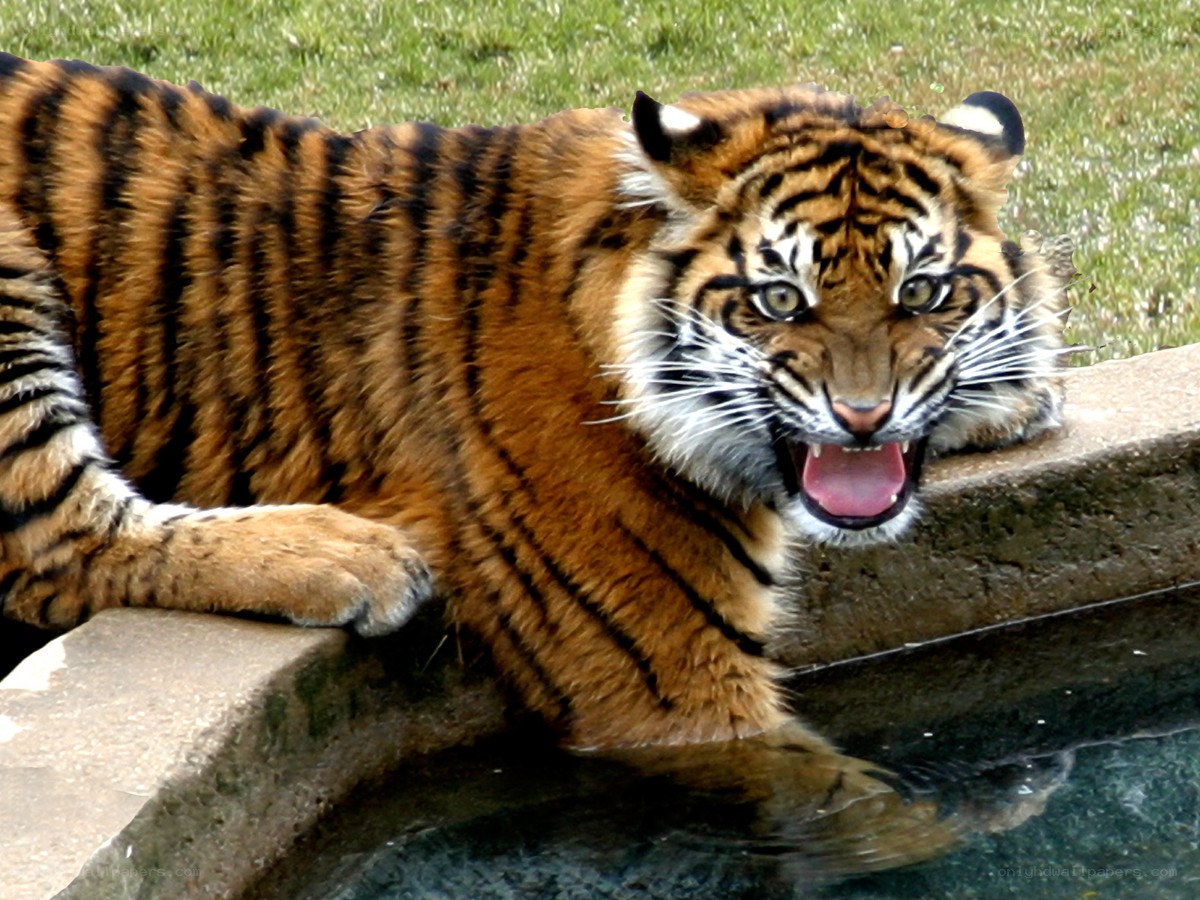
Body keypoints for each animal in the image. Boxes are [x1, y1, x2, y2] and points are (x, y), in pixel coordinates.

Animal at [0, 52, 1070, 868]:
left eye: (922, 292)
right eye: (780, 301)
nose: (862, 417)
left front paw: (1019, 392)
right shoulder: (665, 679)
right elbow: (859, 799)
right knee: (56, 547)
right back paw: (349, 558)